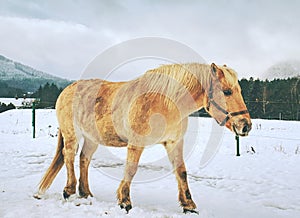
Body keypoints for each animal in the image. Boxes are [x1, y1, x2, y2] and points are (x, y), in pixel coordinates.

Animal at [34, 62, 252, 213]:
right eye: (227, 91)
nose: (246, 125)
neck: (166, 103)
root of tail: (66, 90)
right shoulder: (136, 144)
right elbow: (131, 170)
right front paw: (125, 201)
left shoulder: (174, 143)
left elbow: (181, 172)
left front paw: (188, 205)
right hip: (72, 133)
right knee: (69, 155)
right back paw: (69, 190)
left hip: (91, 138)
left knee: (83, 159)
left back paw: (86, 193)